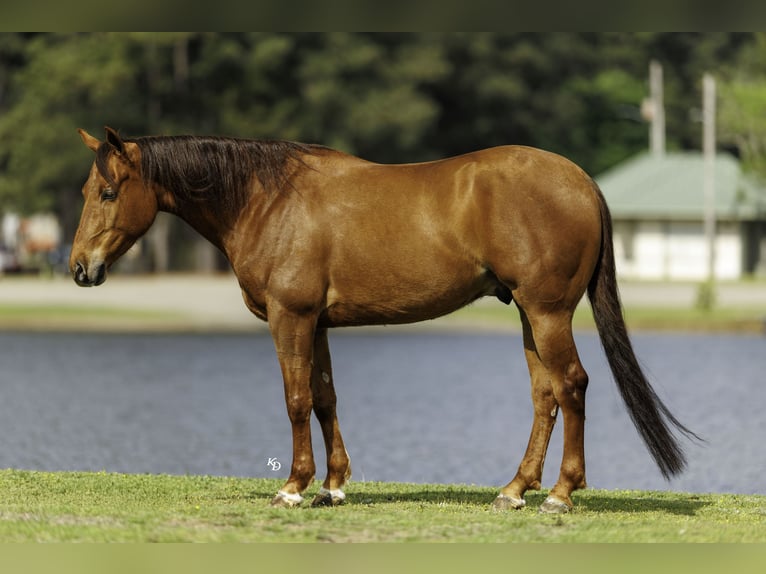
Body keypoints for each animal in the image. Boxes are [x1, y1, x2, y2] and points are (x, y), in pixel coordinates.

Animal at [70, 126, 698, 513]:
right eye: (87, 190)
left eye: (108, 192)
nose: (80, 268)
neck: (267, 200)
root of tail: (582, 181)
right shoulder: (317, 324)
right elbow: (325, 398)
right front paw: (333, 486)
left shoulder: (290, 318)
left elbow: (295, 399)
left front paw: (294, 486)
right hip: (529, 316)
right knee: (545, 395)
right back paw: (515, 489)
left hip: (547, 314)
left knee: (572, 386)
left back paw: (561, 493)